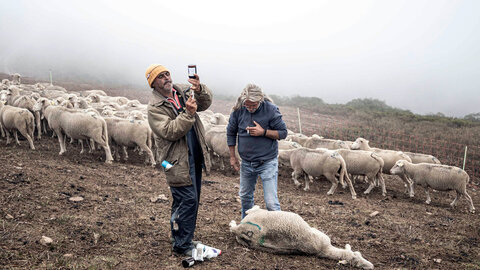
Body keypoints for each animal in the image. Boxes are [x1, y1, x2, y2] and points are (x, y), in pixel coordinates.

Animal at [230, 206, 376, 268]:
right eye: (358, 255)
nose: (371, 266)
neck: (323, 250)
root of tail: (240, 231)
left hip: (258, 215)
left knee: (247, 213)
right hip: (259, 213)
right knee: (251, 209)